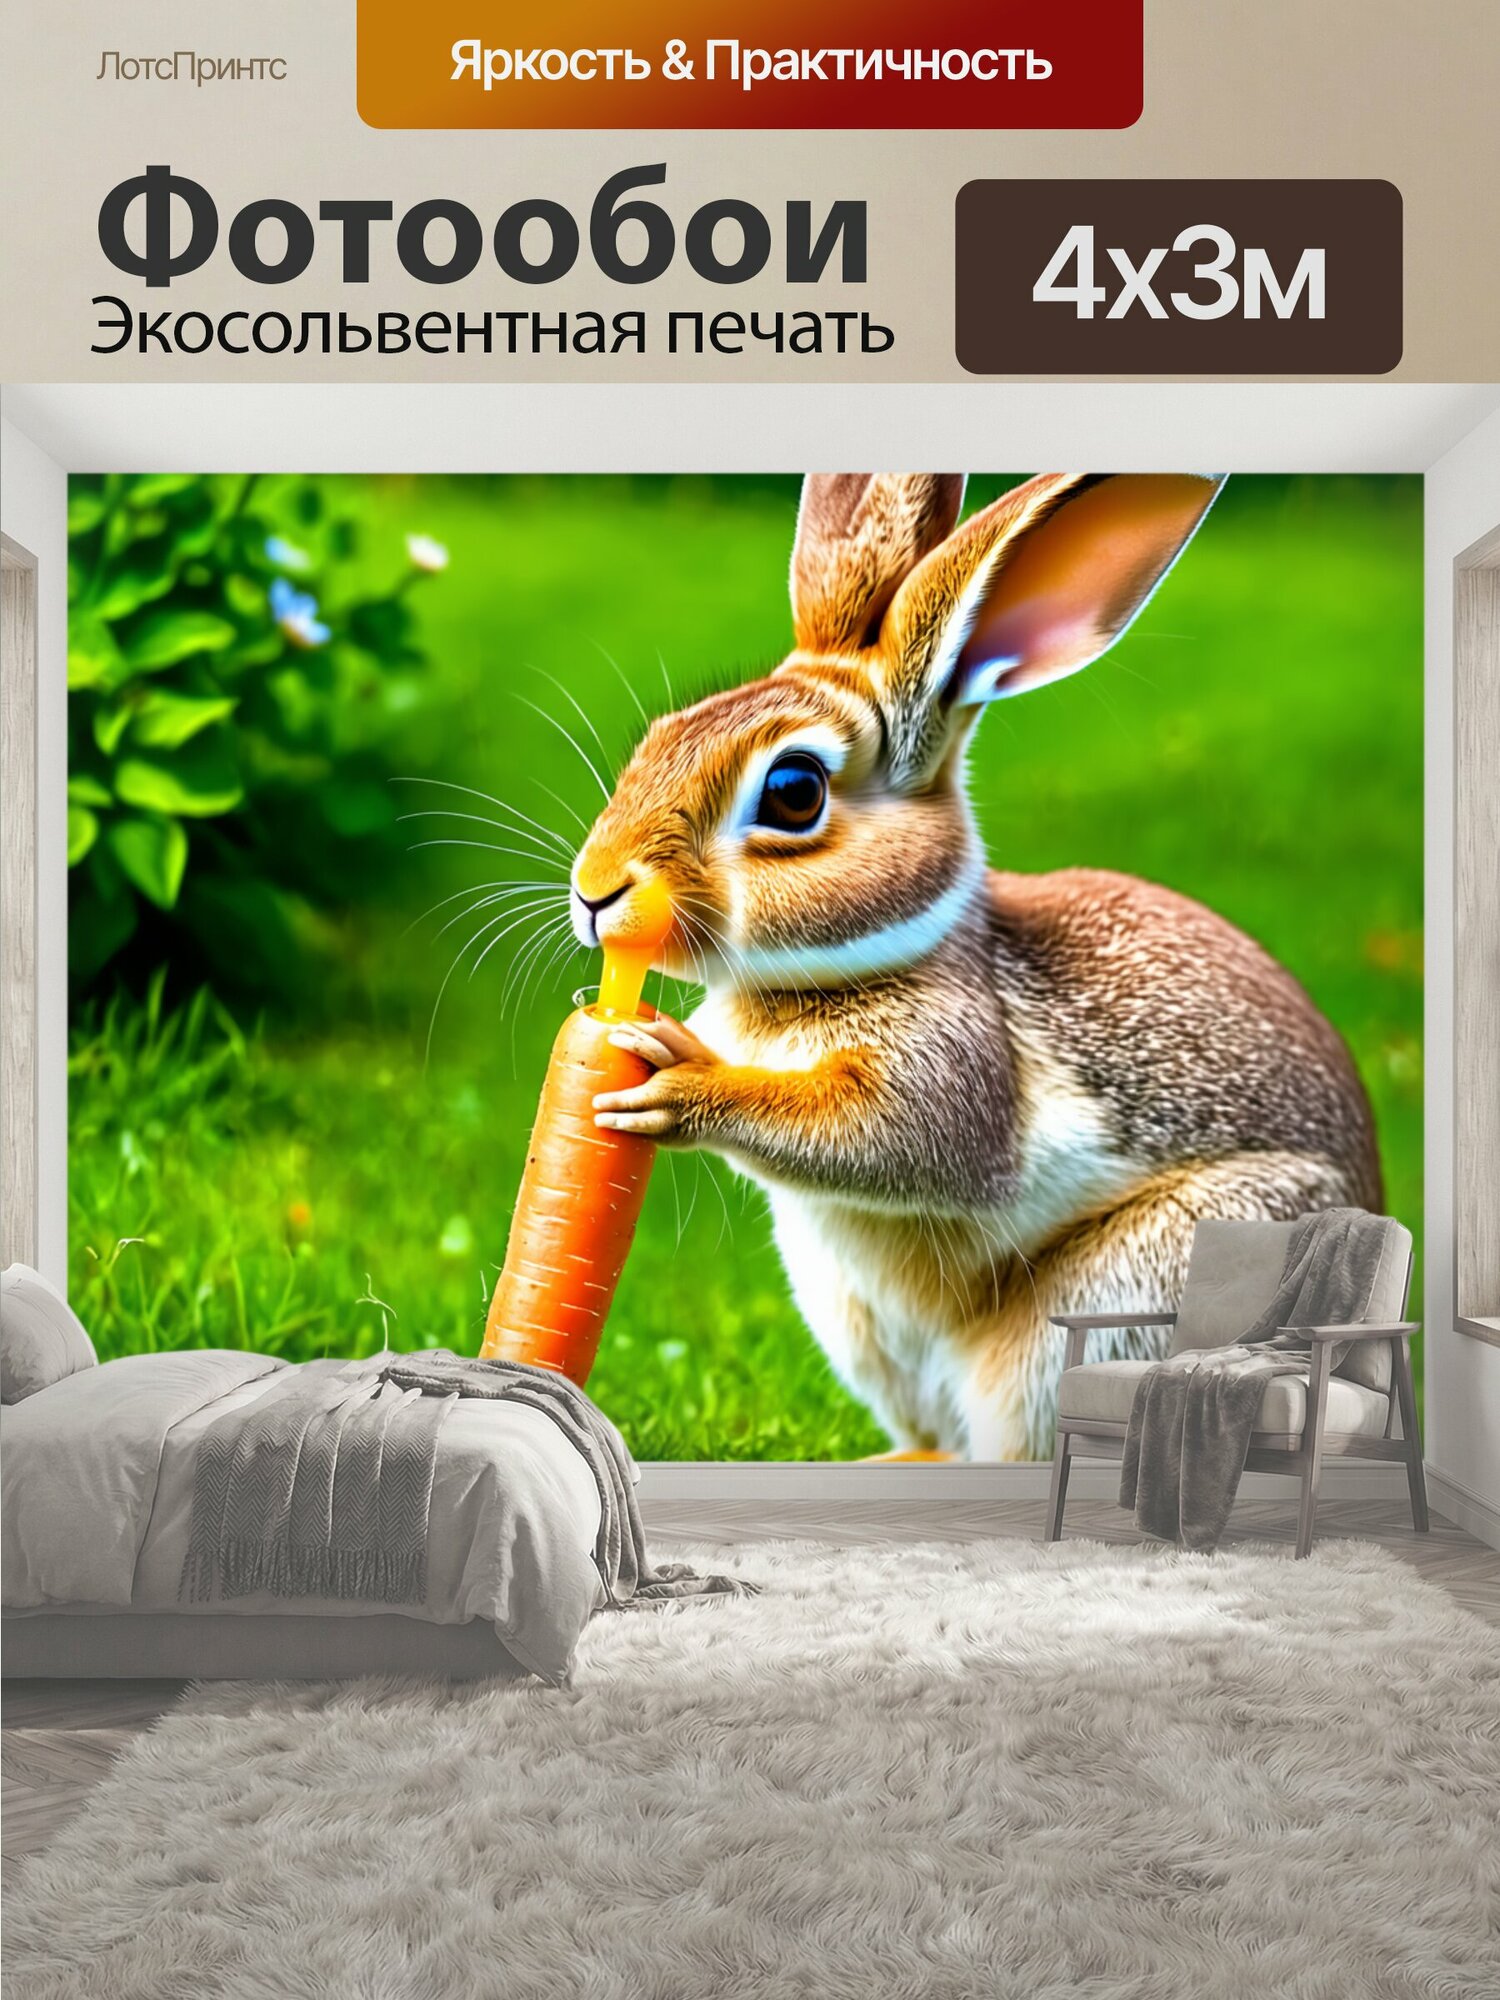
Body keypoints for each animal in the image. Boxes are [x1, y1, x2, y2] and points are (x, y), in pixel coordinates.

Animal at [571, 474, 1382, 1461]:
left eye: (795, 791)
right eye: (661, 736)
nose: (596, 890)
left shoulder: (957, 1064)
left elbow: (892, 1138)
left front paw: (678, 1084)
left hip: (1118, 1296)